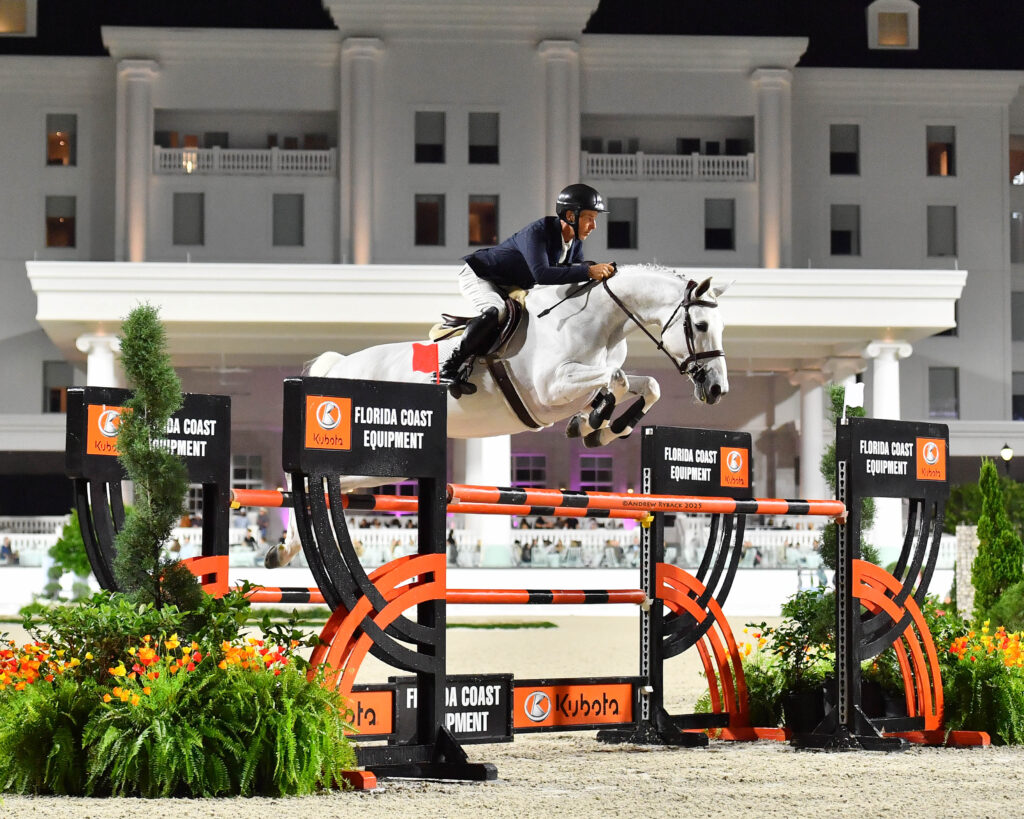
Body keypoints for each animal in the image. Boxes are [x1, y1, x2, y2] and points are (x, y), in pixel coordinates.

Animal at [266, 264, 729, 568]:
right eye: (702, 325)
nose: (716, 390)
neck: (598, 322)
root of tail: (338, 365)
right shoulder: (549, 389)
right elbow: (612, 381)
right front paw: (597, 419)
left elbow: (645, 385)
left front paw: (599, 426)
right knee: (302, 478)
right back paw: (283, 550)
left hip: (375, 463)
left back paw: (286, 550)